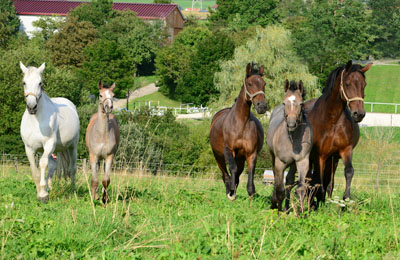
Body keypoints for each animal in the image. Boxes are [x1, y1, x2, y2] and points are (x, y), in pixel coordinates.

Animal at [19, 61, 80, 203]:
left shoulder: (48, 144)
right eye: (24, 82)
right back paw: (48, 187)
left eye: (40, 83)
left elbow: (42, 163)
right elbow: (34, 170)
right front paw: (41, 192)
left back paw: (72, 190)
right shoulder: (29, 149)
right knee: (53, 165)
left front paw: (43, 195)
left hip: (72, 147)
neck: (36, 121)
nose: (31, 107)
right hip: (51, 150)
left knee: (72, 168)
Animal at [268, 80, 312, 212]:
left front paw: (300, 213)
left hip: (293, 164)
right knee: (277, 179)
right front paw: (278, 211)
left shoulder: (302, 162)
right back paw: (275, 204)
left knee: (289, 182)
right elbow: (279, 189)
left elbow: (300, 189)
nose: (291, 124)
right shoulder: (280, 163)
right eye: (284, 102)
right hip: (273, 158)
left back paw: (287, 208)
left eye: (301, 103)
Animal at [304, 60, 372, 203]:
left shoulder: (345, 150)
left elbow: (349, 171)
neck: (332, 120)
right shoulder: (320, 155)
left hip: (333, 159)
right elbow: (318, 178)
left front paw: (345, 199)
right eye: (347, 84)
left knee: (329, 180)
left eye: (364, 85)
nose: (359, 114)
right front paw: (318, 199)